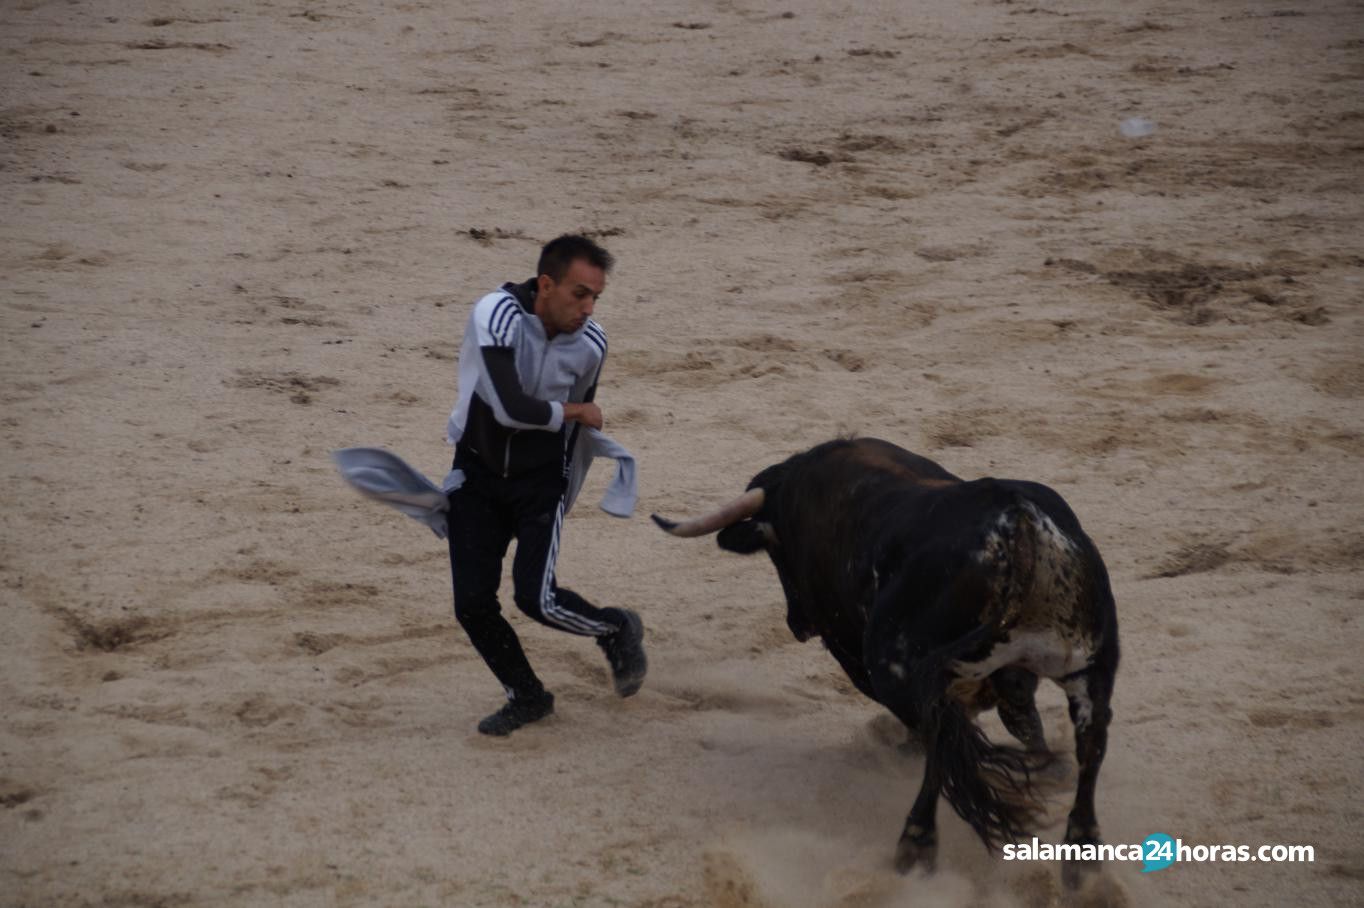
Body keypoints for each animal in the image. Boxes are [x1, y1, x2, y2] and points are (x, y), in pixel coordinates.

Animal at [651, 436, 1118, 878]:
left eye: (776, 550)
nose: (797, 624)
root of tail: (1018, 526)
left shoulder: (853, 651)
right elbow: (1019, 713)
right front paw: (1046, 767)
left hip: (894, 668)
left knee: (942, 736)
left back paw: (917, 839)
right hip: (1092, 665)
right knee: (1090, 739)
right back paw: (1080, 853)